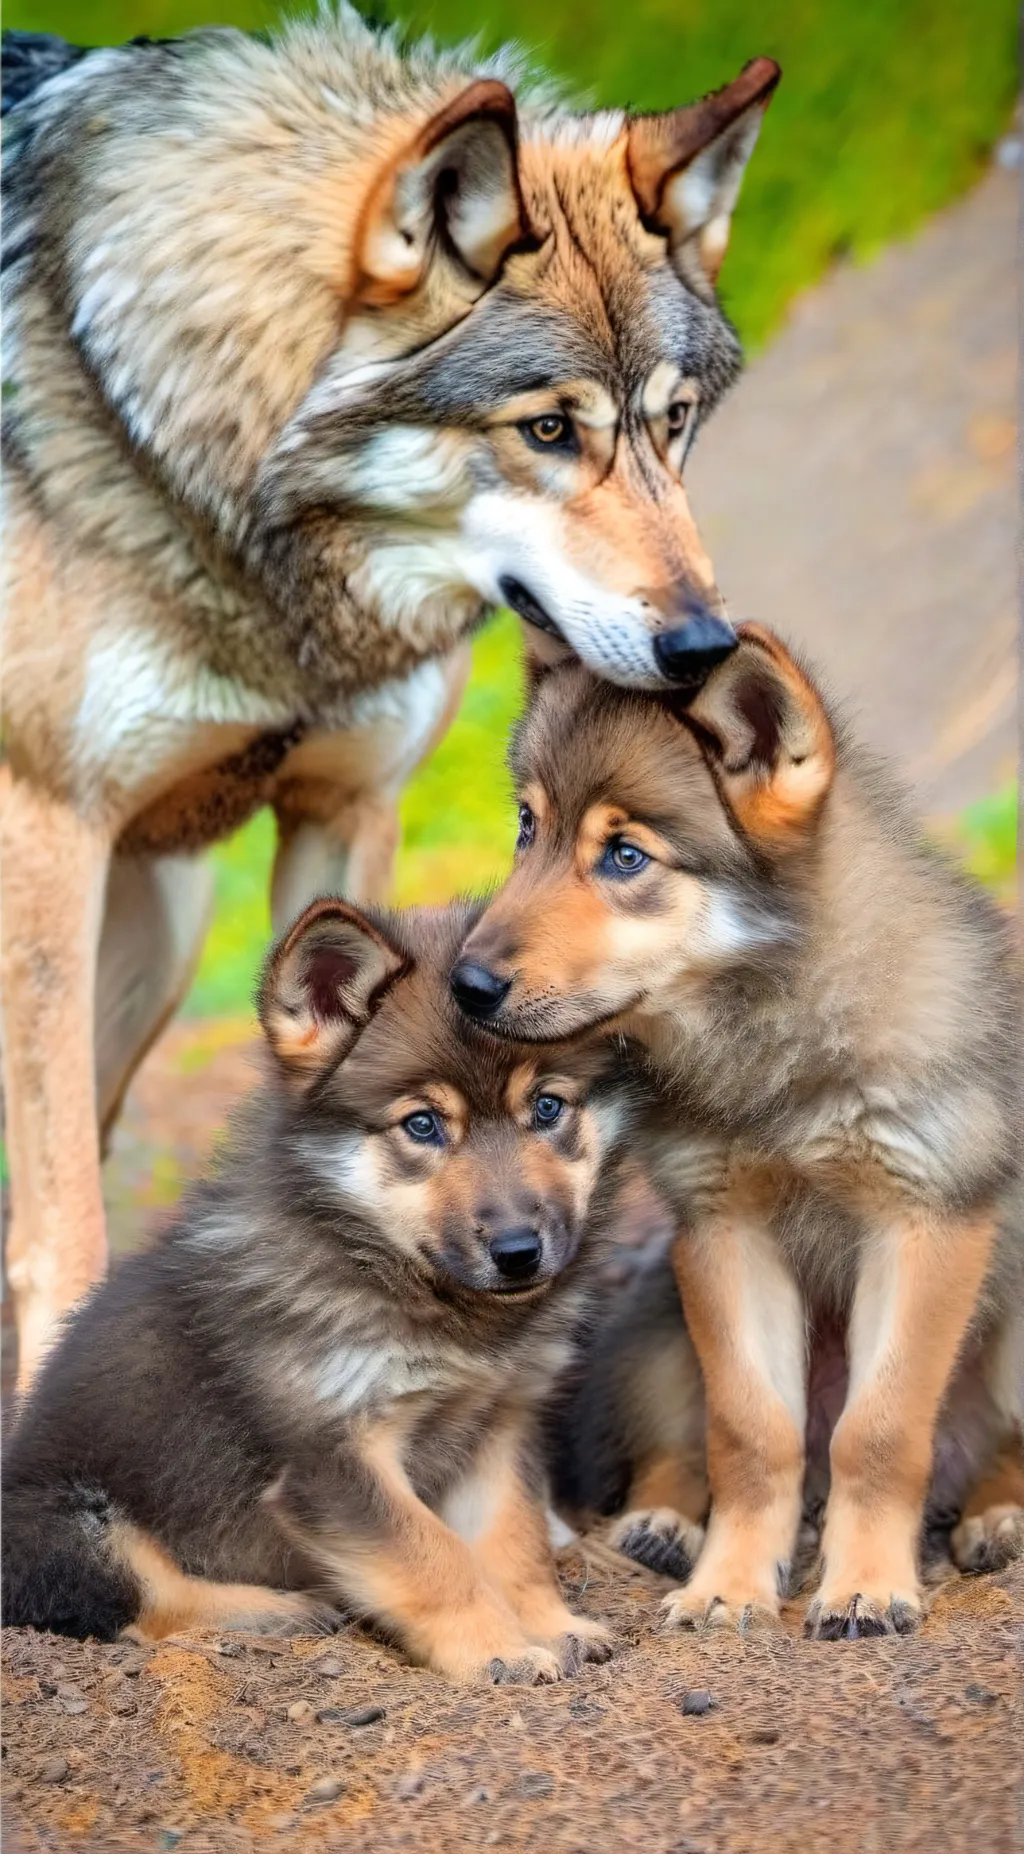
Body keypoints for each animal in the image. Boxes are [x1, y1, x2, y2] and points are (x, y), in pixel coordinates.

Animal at [1, 10, 778, 1386]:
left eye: (673, 421)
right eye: (546, 431)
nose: (701, 645)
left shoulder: (346, 812)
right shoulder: (45, 834)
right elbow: (64, 1237)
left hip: (158, 949)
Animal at [2, 895, 634, 1682]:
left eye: (548, 1108)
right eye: (422, 1124)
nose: (520, 1253)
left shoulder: (498, 1426)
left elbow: (514, 1542)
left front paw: (550, 1624)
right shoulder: (331, 1456)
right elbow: (434, 1556)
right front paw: (498, 1648)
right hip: (67, 1522)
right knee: (142, 1599)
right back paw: (275, 1609)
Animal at [452, 626, 1024, 1636]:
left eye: (625, 857)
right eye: (527, 827)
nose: (464, 985)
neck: (773, 1053)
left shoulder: (926, 1223)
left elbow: (877, 1431)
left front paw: (867, 1586)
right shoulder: (723, 1232)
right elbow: (752, 1434)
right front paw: (730, 1585)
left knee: (995, 1448)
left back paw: (994, 1516)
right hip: (660, 1323)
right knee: (682, 1452)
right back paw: (664, 1529)